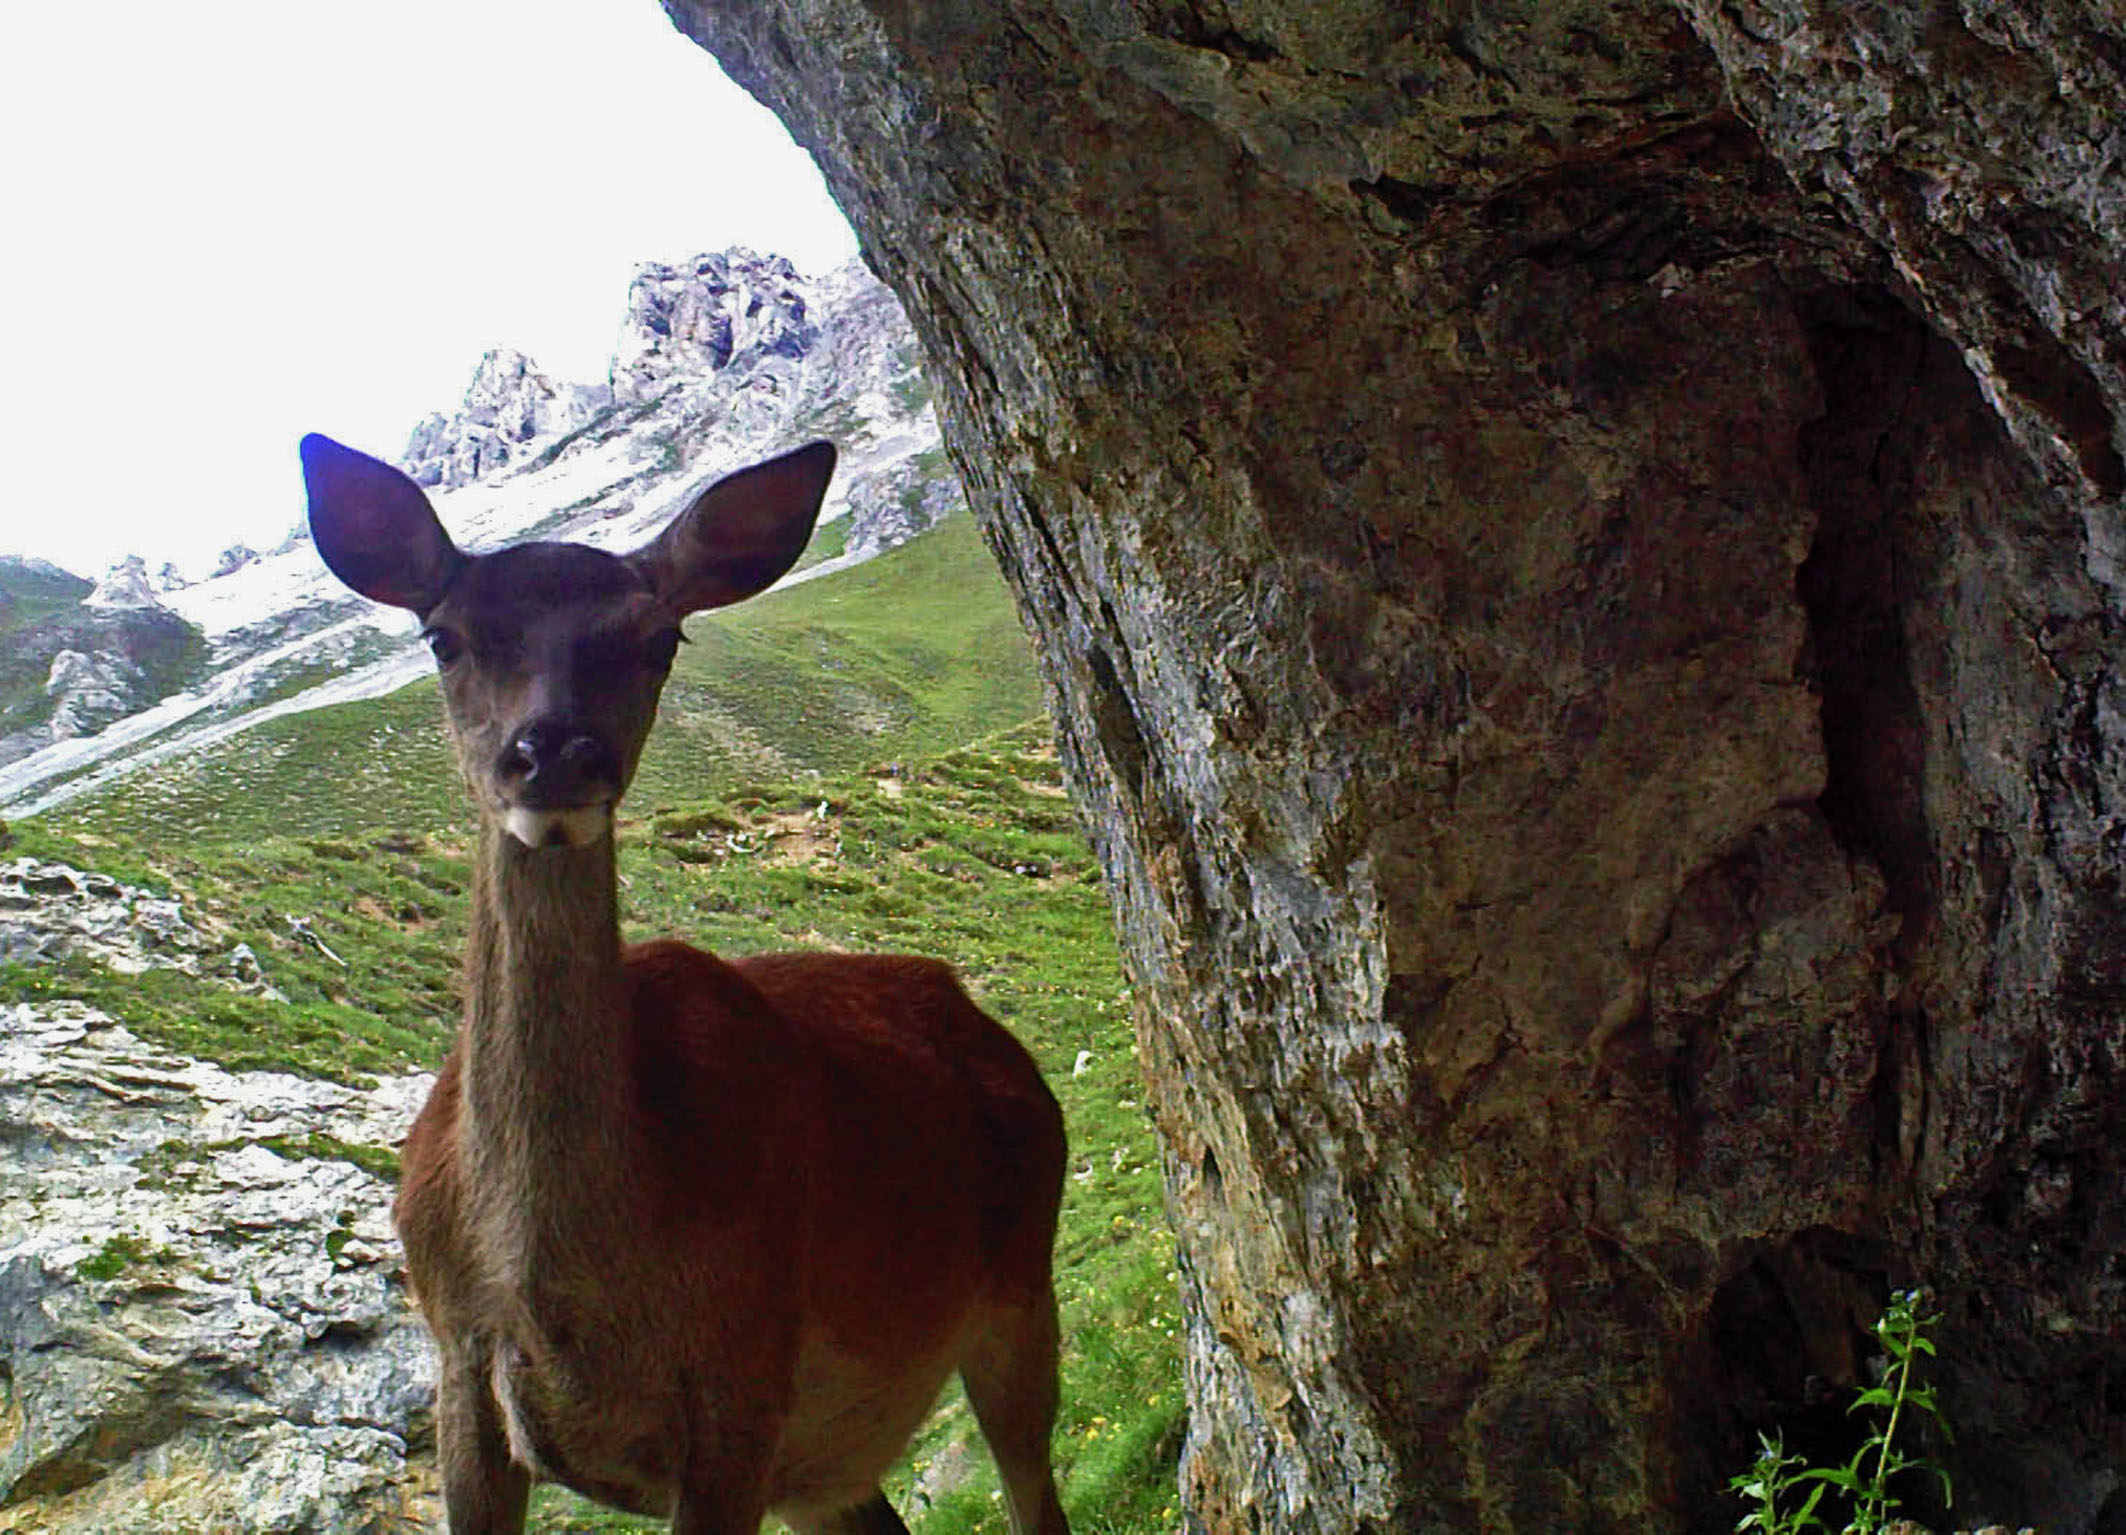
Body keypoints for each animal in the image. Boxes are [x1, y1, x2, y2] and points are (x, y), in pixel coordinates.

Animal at [299, 433, 1071, 1530]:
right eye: (444, 636)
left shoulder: (741, 1368)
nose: (555, 752)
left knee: (1032, 1484)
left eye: (659, 638)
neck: (557, 1288)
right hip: (826, 1462)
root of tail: (988, 1028)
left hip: (1017, 1283)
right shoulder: (458, 1369)